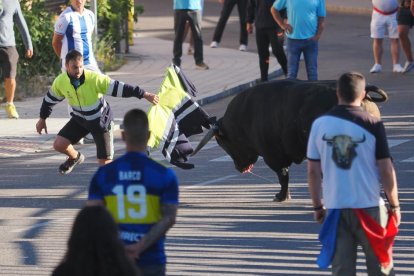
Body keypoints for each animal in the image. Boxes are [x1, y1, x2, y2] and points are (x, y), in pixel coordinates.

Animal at [191, 78, 388, 202]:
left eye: (223, 143)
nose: (239, 168)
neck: (244, 117)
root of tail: (365, 92)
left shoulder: (273, 156)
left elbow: (282, 176)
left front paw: (281, 196)